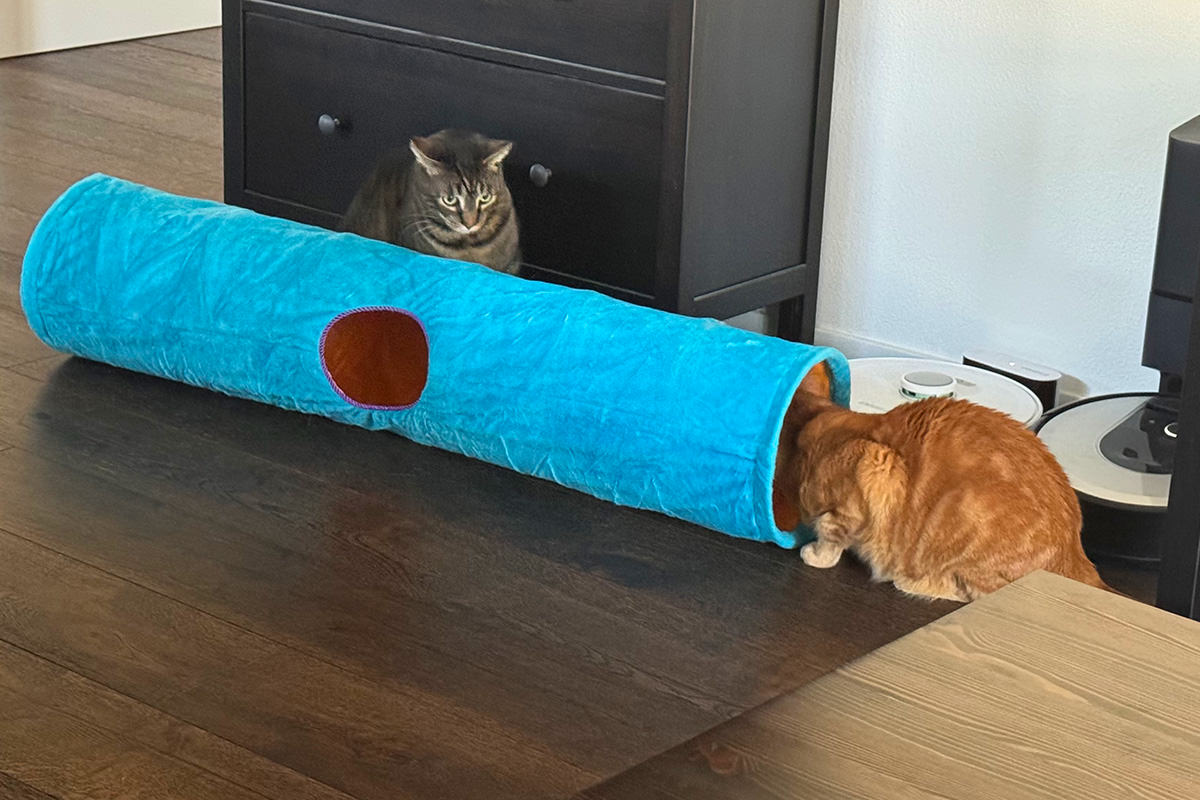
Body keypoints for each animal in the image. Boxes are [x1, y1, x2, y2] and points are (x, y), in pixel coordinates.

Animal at [777, 371, 1104, 604]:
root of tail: (1075, 552)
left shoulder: (875, 467)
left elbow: (829, 536)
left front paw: (814, 554)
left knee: (969, 593)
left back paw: (911, 581)